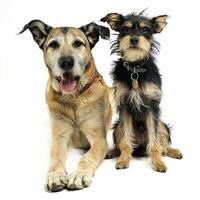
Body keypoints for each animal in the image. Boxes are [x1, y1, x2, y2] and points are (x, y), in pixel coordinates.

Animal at [19, 19, 112, 191]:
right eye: (53, 44)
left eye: (78, 43)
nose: (66, 62)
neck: (73, 99)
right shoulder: (59, 136)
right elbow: (56, 156)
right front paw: (55, 175)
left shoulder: (98, 138)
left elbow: (87, 156)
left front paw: (79, 175)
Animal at [101, 11, 183, 173]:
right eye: (125, 29)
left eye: (145, 29)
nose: (134, 39)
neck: (135, 68)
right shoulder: (124, 107)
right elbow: (126, 141)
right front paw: (123, 160)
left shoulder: (152, 106)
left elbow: (154, 141)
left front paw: (158, 163)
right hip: (117, 127)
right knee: (120, 143)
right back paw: (112, 152)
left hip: (162, 125)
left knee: (163, 146)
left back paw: (173, 151)